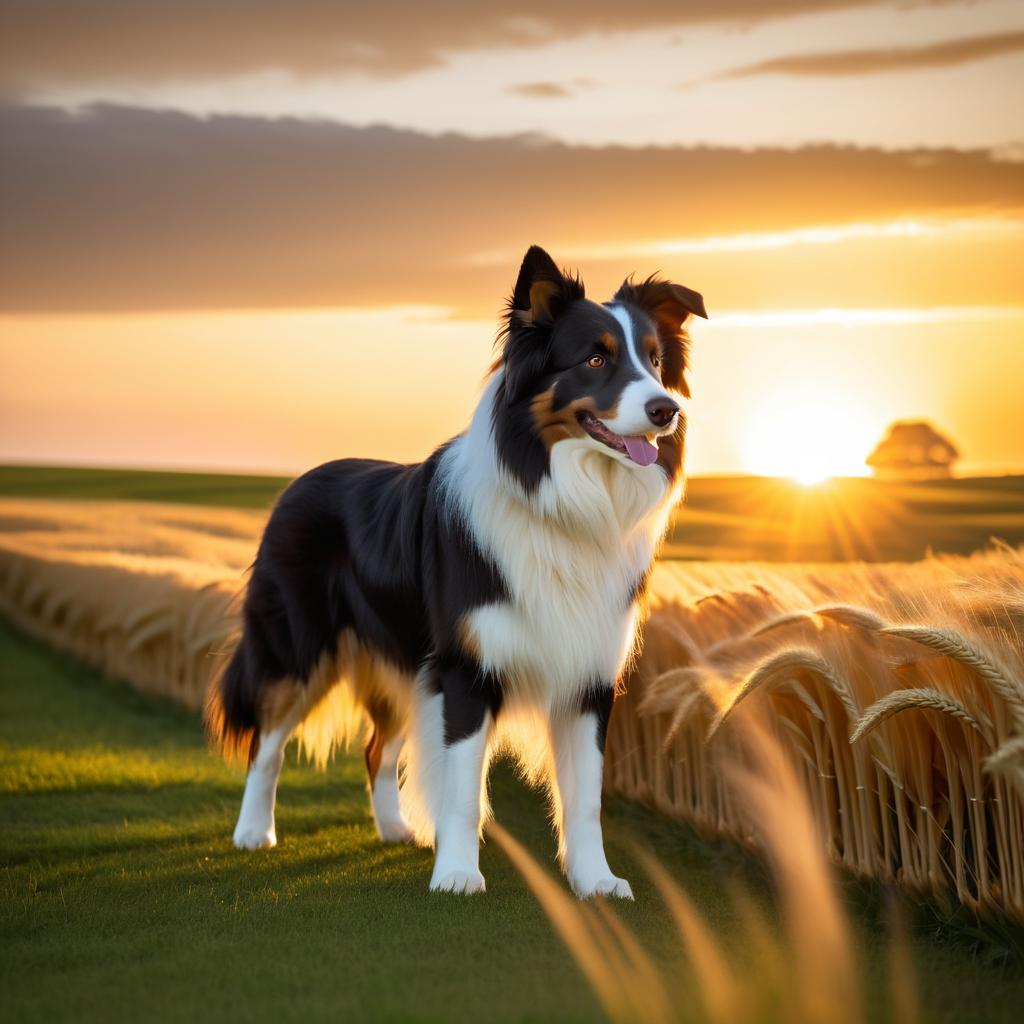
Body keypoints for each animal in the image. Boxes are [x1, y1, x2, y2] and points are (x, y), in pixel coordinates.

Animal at [207, 245, 704, 897]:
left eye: (654, 360)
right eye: (595, 358)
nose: (666, 410)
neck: (562, 499)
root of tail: (299, 481)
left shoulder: (588, 675)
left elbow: (586, 799)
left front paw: (596, 882)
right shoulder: (468, 670)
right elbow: (464, 791)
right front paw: (458, 875)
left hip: (403, 660)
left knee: (376, 749)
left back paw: (395, 829)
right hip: (299, 648)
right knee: (267, 742)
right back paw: (252, 833)